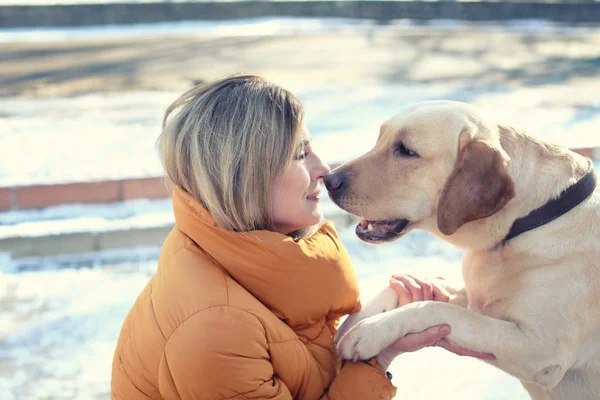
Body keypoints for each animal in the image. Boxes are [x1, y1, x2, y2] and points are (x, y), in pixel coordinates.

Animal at [326, 101, 596, 400]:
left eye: (406, 151)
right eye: (379, 138)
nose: (328, 180)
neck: (525, 222)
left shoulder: (540, 350)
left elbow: (434, 309)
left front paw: (370, 331)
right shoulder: (473, 297)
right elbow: (406, 288)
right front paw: (354, 320)